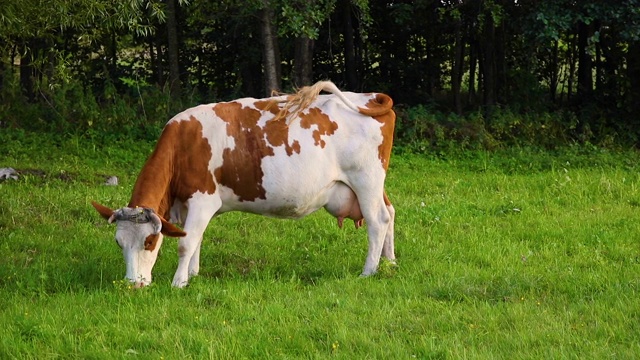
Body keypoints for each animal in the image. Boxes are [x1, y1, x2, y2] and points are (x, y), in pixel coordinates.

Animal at [90, 80, 396, 288]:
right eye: (118, 242)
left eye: (150, 241)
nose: (134, 285)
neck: (184, 145)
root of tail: (369, 96)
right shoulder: (189, 205)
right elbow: (195, 239)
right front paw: (193, 274)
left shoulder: (203, 199)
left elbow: (186, 244)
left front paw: (179, 283)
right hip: (373, 184)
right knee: (390, 213)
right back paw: (390, 262)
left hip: (365, 180)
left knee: (378, 220)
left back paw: (368, 271)